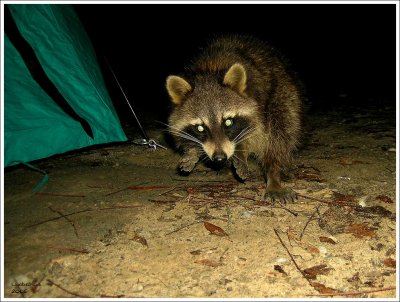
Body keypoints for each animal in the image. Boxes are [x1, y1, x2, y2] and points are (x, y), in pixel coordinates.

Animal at [166, 34, 304, 202]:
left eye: (228, 122)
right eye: (200, 127)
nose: (219, 158)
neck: (210, 70)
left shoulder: (258, 101)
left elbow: (257, 133)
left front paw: (241, 151)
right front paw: (192, 151)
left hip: (283, 95)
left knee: (280, 133)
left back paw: (273, 172)